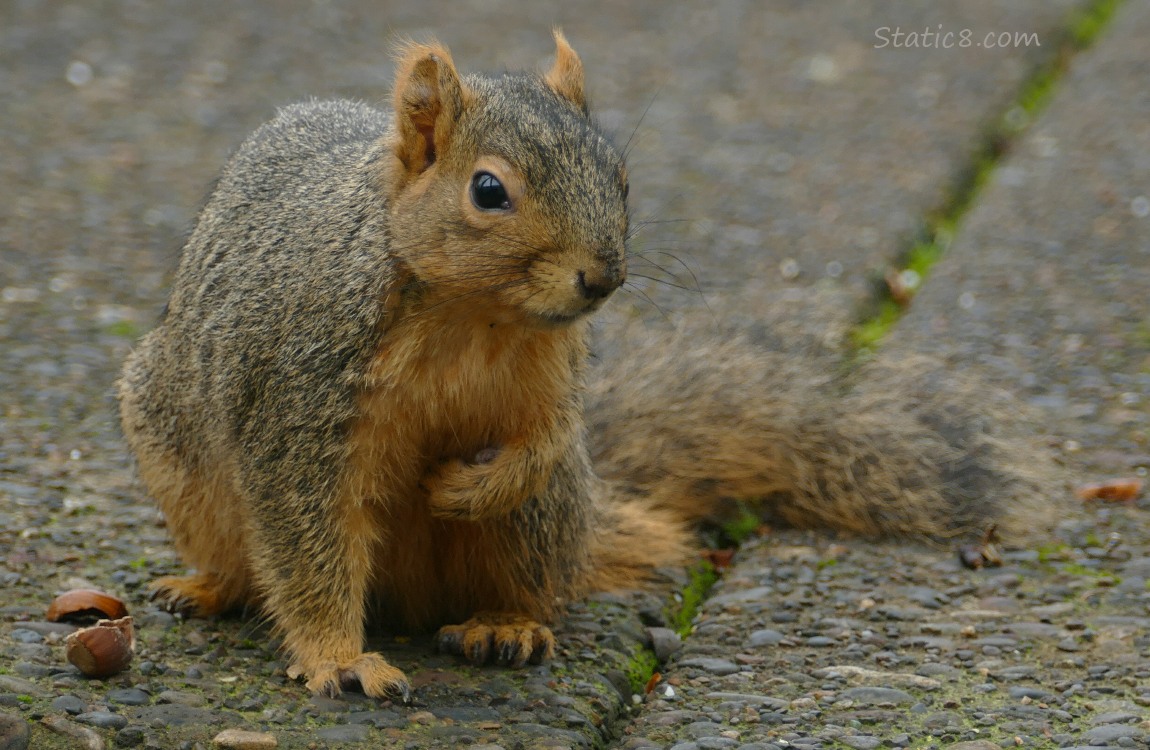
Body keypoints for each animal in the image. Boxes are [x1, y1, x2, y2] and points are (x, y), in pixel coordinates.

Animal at [116, 29, 1053, 699]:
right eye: (488, 191)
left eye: (621, 176)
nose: (603, 277)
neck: (474, 318)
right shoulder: (300, 403)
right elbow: (306, 543)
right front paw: (339, 660)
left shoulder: (550, 375)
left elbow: (541, 443)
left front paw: (461, 485)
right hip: (179, 463)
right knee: (246, 561)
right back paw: (209, 589)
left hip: (545, 522)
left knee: (536, 576)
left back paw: (505, 625)